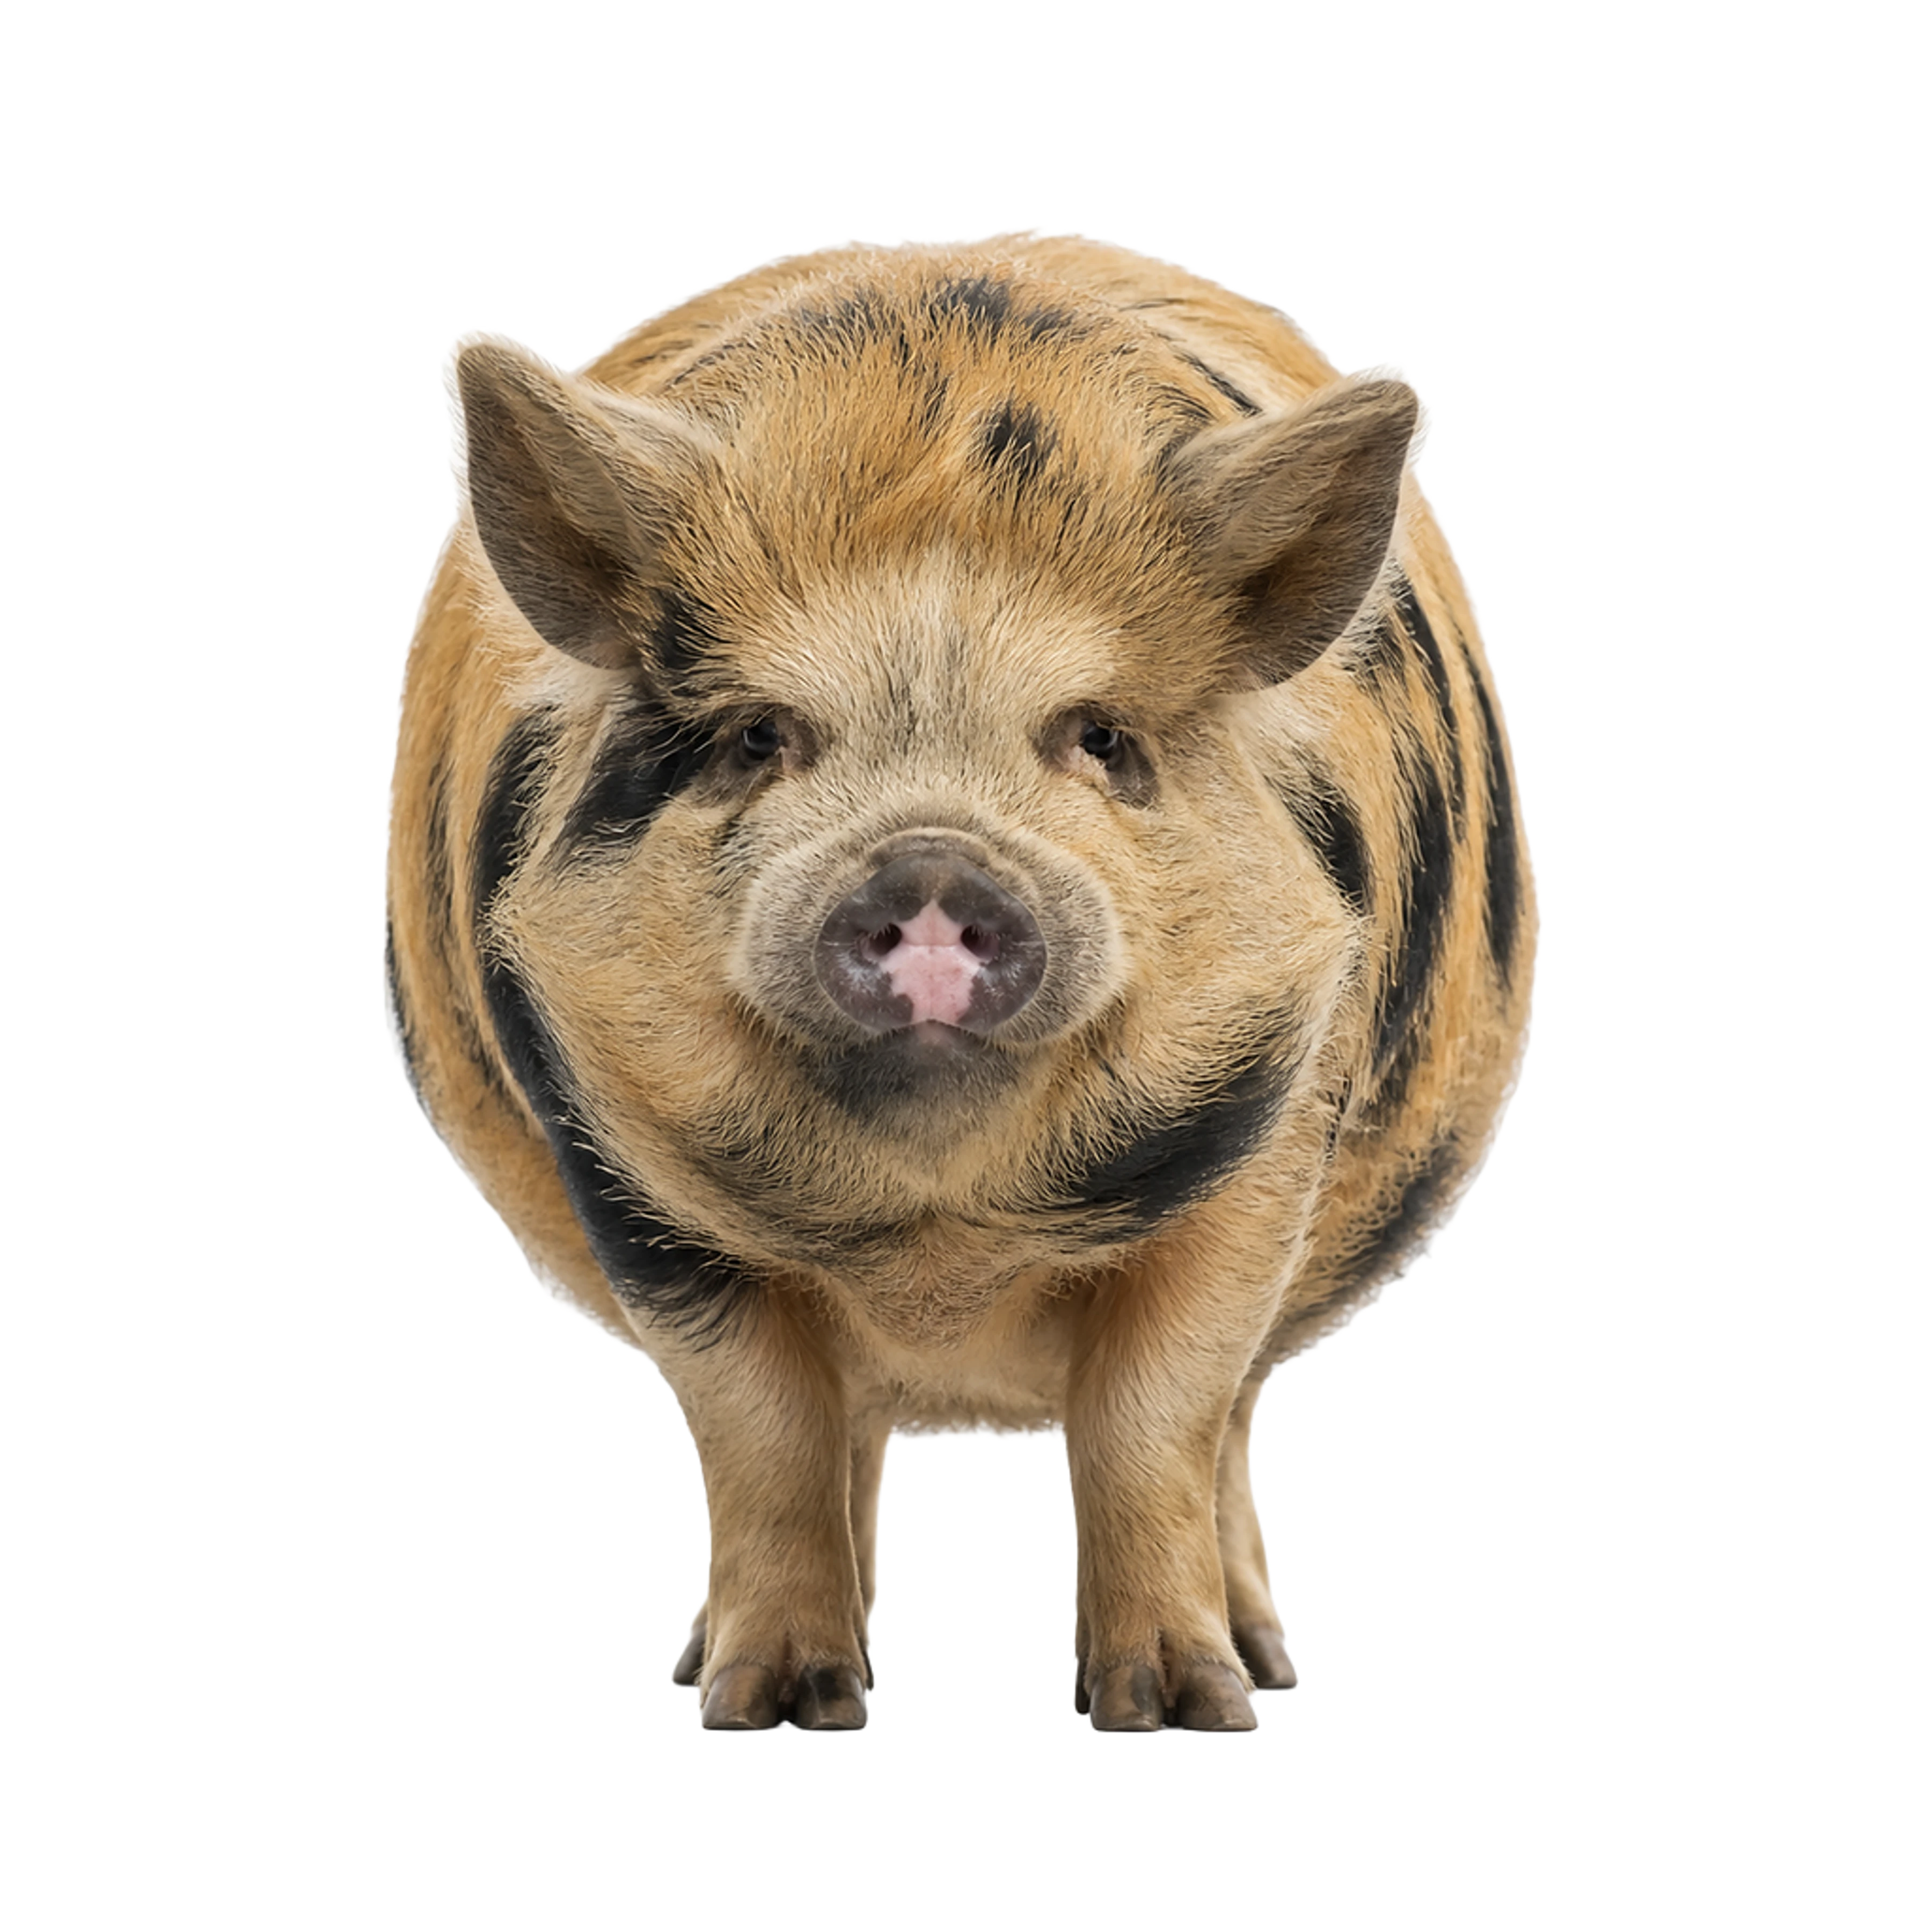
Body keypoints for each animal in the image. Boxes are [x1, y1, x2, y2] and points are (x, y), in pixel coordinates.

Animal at [382, 231, 1536, 1732]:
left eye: (1099, 737)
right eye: (756, 737)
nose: (931, 861)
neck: (939, 1249)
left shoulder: (1268, 1143)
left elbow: (1158, 1414)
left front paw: (1179, 1709)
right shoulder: (626, 1176)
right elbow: (760, 1432)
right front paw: (767, 1706)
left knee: (1224, 1425)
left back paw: (1262, 1660)